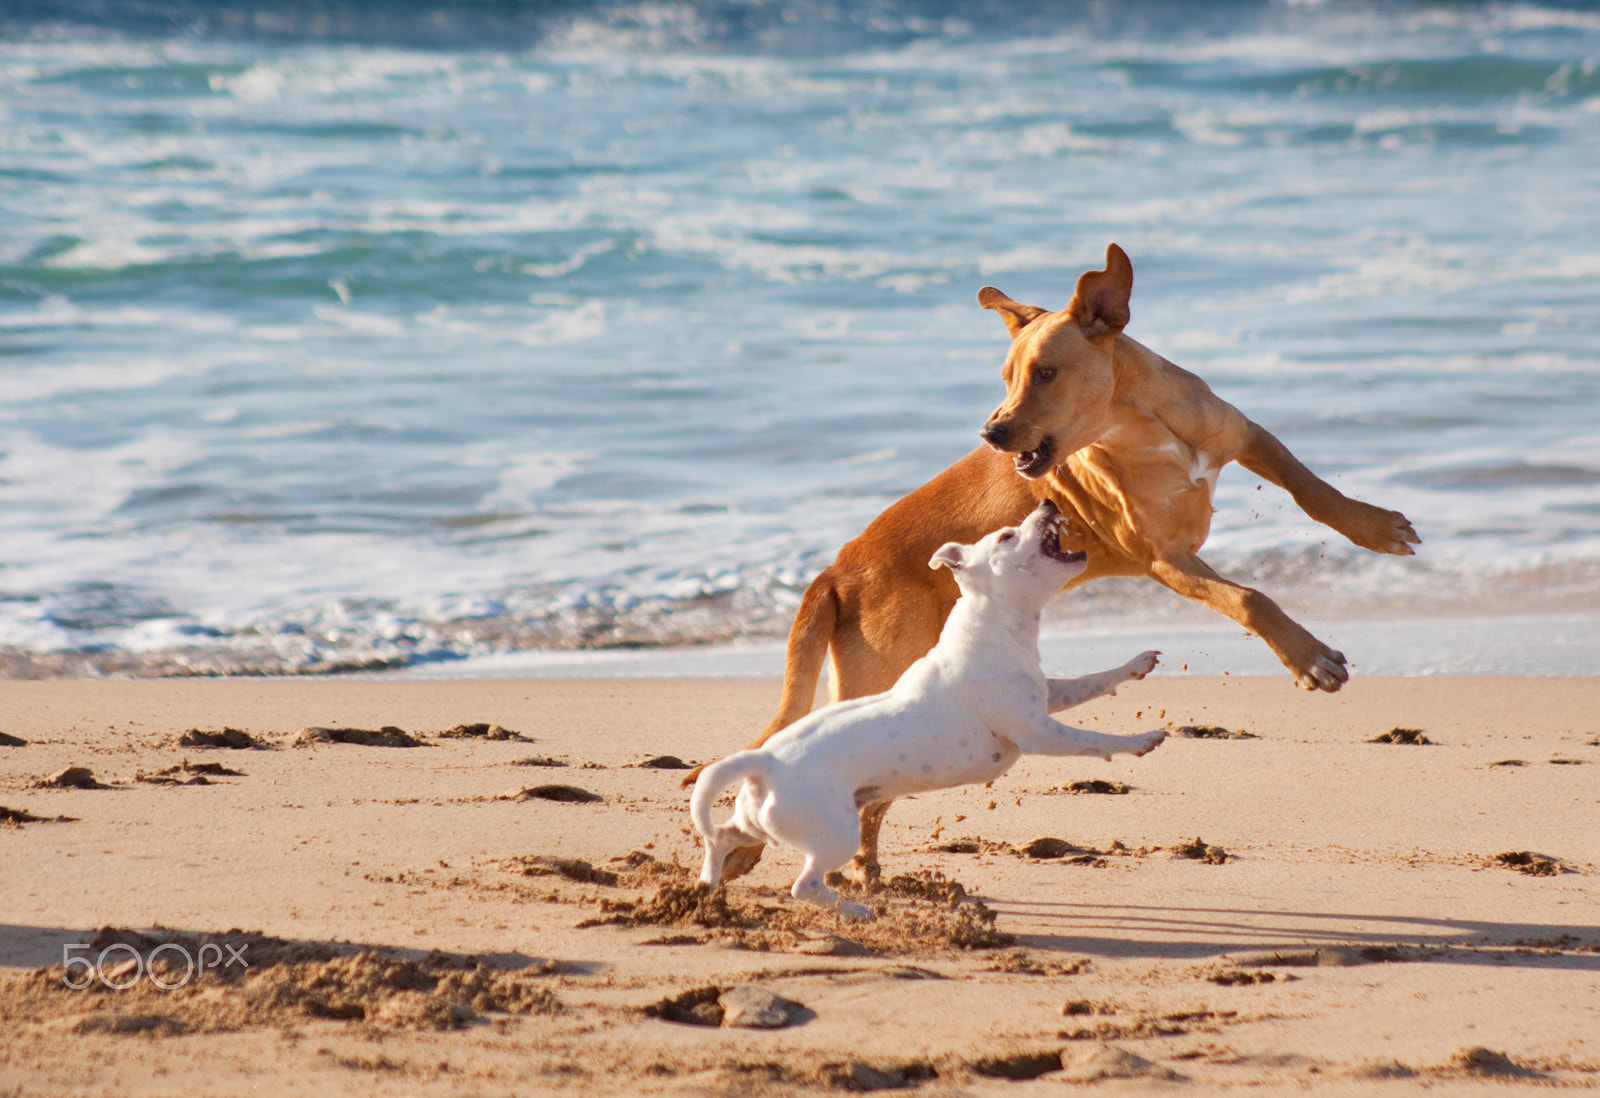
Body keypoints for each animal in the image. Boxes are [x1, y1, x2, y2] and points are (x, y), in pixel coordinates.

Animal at [691, 502, 1164, 921]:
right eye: (1006, 535)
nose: (1047, 501)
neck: (992, 626)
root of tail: (764, 760)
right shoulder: (1037, 732)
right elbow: (1092, 740)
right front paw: (1141, 741)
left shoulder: (1048, 696)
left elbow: (1092, 680)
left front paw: (1136, 664)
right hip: (834, 832)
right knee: (804, 884)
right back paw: (858, 910)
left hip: (758, 821)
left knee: (722, 837)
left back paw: (707, 886)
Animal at [700, 243, 1414, 883]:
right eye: (1007, 378)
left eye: (1043, 372)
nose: (990, 433)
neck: (1141, 427)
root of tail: (835, 570)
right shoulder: (1166, 560)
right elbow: (1249, 598)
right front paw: (1310, 658)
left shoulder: (1245, 436)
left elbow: (1312, 491)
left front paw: (1375, 528)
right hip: (881, 678)